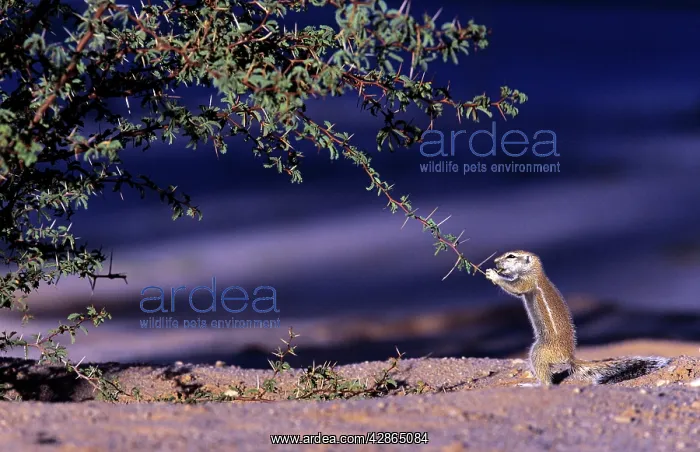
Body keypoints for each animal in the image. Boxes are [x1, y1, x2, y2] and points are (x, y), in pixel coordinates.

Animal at [484, 250, 670, 386]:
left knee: (547, 382)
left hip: (539, 351)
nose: (495, 262)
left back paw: (533, 385)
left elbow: (514, 288)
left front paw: (493, 275)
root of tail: (569, 357)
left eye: (511, 256)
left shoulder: (526, 282)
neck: (536, 272)